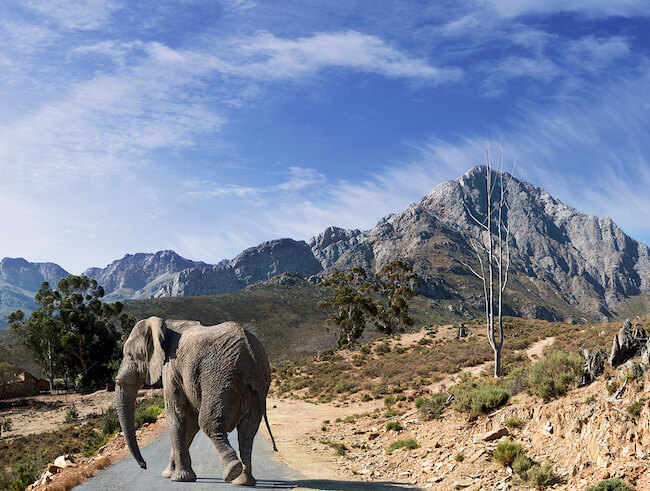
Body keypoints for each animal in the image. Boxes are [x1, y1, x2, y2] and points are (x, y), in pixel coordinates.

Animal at [114, 318, 276, 486]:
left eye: (129, 354)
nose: (144, 465)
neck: (166, 326)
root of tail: (251, 356)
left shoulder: (171, 368)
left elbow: (176, 416)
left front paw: (179, 478)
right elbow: (190, 424)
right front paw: (169, 474)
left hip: (219, 378)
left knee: (208, 422)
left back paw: (232, 471)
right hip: (258, 385)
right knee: (247, 432)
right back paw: (243, 481)